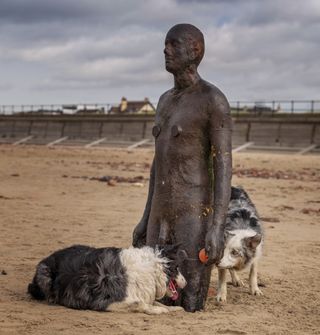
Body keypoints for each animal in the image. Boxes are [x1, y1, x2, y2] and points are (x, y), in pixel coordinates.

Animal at [29, 244, 188, 316]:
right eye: (178, 268)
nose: (186, 283)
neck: (152, 270)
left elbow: (154, 301)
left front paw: (173, 308)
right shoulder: (105, 301)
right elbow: (140, 304)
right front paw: (159, 310)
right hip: (45, 275)